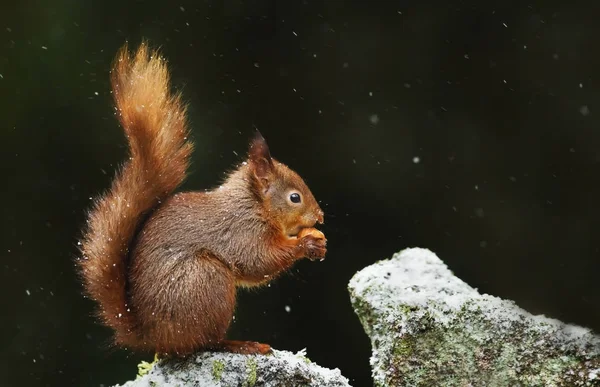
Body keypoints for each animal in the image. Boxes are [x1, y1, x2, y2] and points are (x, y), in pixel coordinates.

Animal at [78, 43, 328, 358]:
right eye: (295, 197)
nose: (320, 217)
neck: (253, 204)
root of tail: (151, 336)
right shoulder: (241, 230)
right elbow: (258, 261)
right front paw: (307, 244)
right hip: (206, 279)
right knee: (205, 342)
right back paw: (240, 344)